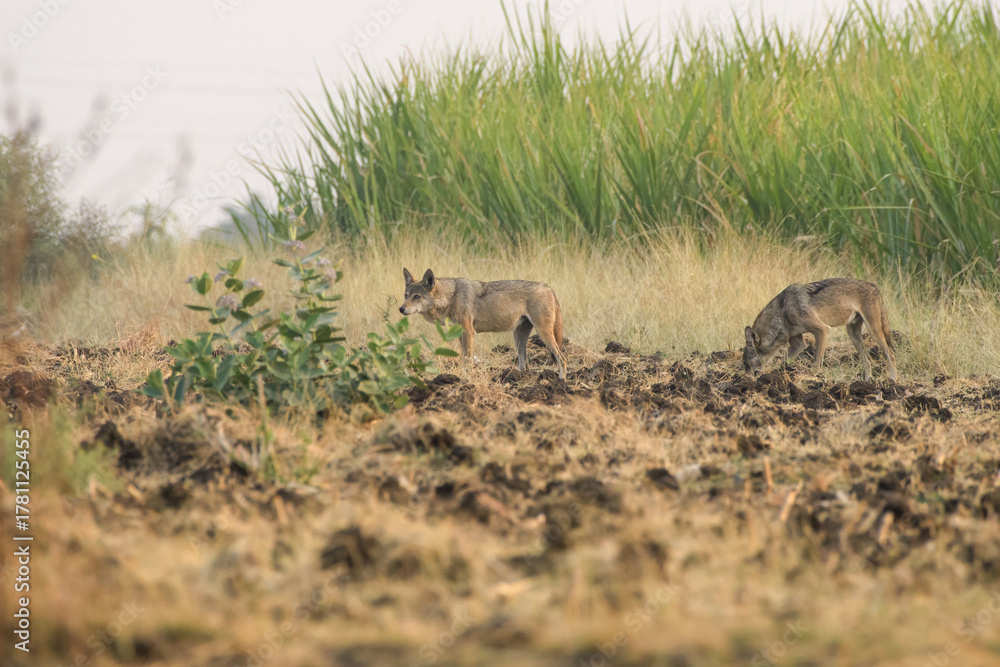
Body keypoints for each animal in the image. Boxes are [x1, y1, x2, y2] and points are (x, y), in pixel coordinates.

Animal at [399, 268, 567, 379]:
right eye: (406, 296)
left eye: (417, 296)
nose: (401, 309)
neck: (451, 297)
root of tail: (548, 287)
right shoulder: (461, 335)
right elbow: (463, 358)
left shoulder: (468, 333)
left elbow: (467, 360)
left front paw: (465, 379)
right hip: (519, 337)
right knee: (524, 364)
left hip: (543, 334)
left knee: (562, 358)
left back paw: (561, 381)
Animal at [743, 277, 898, 381]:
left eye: (747, 363)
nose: (745, 378)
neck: (782, 311)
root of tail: (874, 285)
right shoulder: (798, 343)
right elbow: (784, 361)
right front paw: (781, 373)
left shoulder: (822, 330)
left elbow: (816, 362)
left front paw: (814, 379)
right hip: (853, 335)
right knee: (868, 361)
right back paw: (867, 382)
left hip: (873, 331)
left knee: (890, 354)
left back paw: (893, 380)